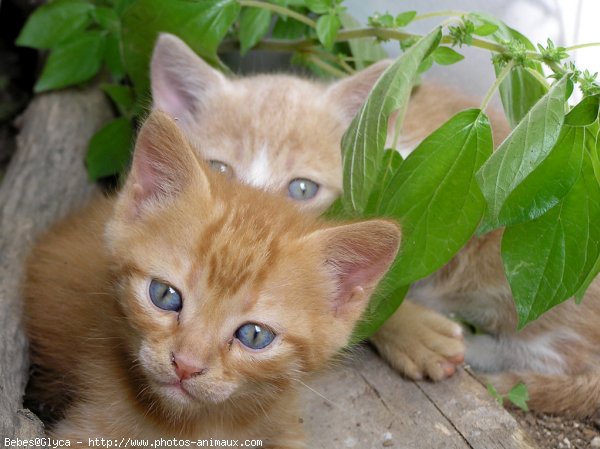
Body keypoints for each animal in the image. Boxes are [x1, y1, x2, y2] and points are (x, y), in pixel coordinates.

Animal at [151, 32, 600, 416]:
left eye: (302, 188)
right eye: (219, 169)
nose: (251, 217)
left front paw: (415, 329)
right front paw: (414, 331)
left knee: (561, 352)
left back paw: (478, 348)